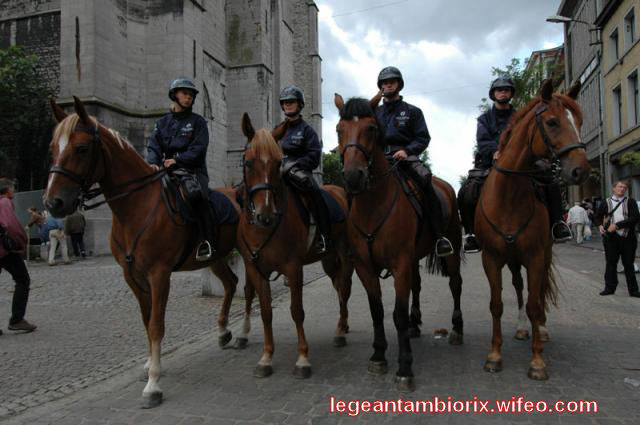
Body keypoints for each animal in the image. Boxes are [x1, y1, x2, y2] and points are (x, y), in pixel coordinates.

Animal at [44, 97, 244, 408]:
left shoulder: (159, 274)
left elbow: (155, 324)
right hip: (217, 257)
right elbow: (145, 320)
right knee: (232, 284)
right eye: (53, 147)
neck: (137, 207)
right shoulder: (133, 276)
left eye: (81, 148)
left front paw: (153, 384)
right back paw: (224, 332)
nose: (53, 202)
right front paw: (150, 365)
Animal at [237, 113, 353, 379]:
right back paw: (343, 326)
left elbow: (297, 310)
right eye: (248, 163)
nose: (265, 216)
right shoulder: (257, 270)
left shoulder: (293, 268)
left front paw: (302, 359)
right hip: (328, 259)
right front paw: (266, 358)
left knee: (344, 289)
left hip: (345, 256)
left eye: (278, 163)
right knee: (338, 286)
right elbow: (266, 312)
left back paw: (340, 331)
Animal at [334, 93, 464, 392]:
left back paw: (456, 328)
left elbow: (398, 315)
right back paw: (417, 326)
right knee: (418, 285)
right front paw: (378, 355)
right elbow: (377, 310)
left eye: (371, 128)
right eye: (338, 129)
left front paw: (405, 367)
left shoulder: (400, 264)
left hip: (450, 250)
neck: (374, 205)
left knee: (455, 284)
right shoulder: (365, 267)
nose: (353, 176)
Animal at [475, 79, 590, 380]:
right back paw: (521, 327)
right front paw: (494, 356)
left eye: (580, 122)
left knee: (536, 294)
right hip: (513, 259)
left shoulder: (536, 256)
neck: (509, 196)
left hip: (541, 256)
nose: (581, 171)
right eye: (552, 122)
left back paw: (541, 329)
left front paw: (537, 362)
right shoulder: (491, 258)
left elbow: (535, 302)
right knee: (518, 287)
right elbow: (496, 304)